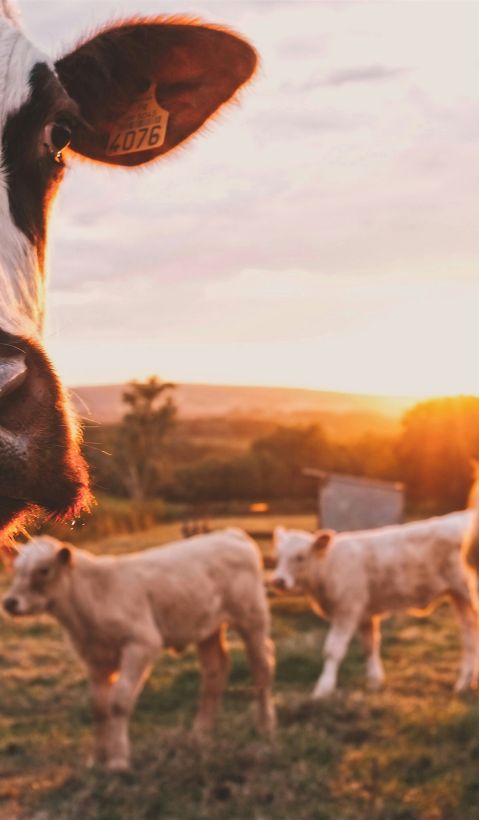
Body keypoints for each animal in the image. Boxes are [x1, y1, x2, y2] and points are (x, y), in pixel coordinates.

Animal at [2, 529, 276, 771]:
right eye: (16, 569)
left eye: (44, 570)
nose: (10, 602)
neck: (91, 600)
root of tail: (230, 534)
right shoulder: (95, 658)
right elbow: (98, 706)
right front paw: (97, 758)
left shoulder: (141, 644)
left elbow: (119, 702)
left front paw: (118, 760)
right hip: (207, 627)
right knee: (214, 671)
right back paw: (201, 732)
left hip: (252, 617)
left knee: (261, 666)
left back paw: (265, 726)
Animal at [271, 513, 478, 698]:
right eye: (278, 556)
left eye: (300, 557)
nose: (278, 581)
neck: (328, 566)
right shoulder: (365, 613)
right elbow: (369, 646)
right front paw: (375, 681)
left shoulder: (347, 610)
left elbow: (333, 650)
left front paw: (324, 688)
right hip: (459, 597)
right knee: (469, 635)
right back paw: (464, 683)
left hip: (467, 593)